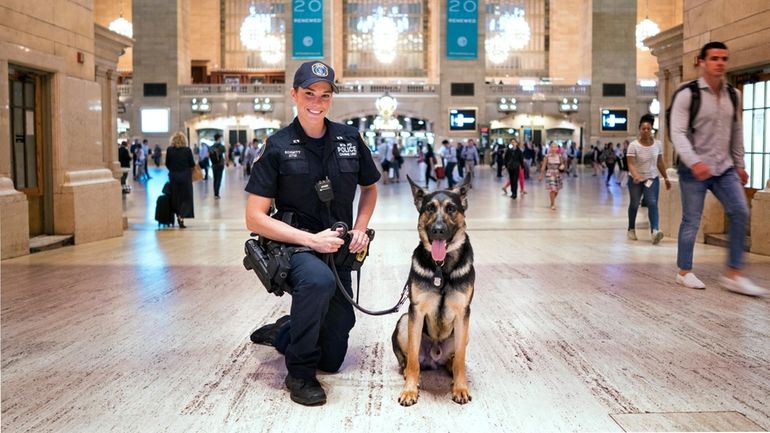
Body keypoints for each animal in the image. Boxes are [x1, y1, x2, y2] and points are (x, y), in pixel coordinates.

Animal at [392, 173, 472, 404]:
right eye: (429, 208)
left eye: (451, 208)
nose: (438, 231)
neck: (441, 269)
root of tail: (434, 358)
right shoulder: (416, 312)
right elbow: (412, 361)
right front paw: (410, 390)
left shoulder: (463, 313)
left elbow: (460, 359)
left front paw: (460, 387)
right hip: (404, 322)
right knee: (409, 361)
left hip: (464, 331)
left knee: (454, 359)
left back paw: (451, 370)